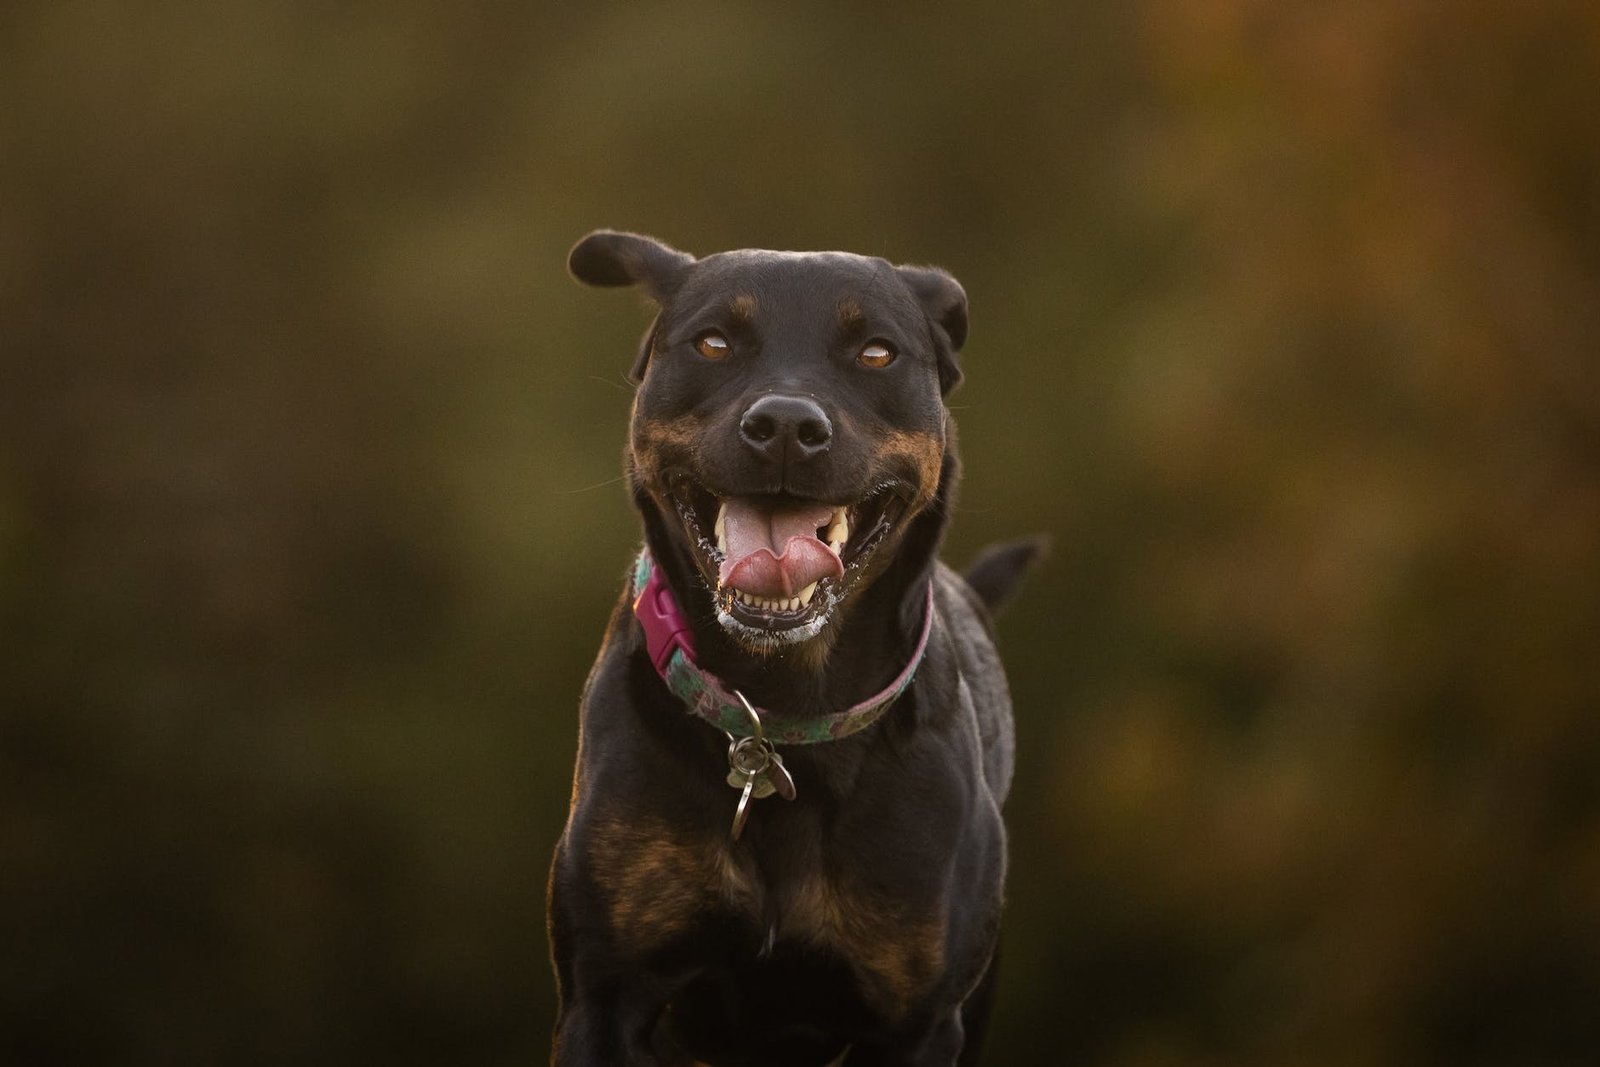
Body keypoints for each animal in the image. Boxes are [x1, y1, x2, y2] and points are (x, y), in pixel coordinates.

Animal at [550, 230, 1036, 1062]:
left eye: (877, 352)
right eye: (713, 342)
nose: (783, 424)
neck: (779, 713)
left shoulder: (921, 1020)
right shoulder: (602, 995)